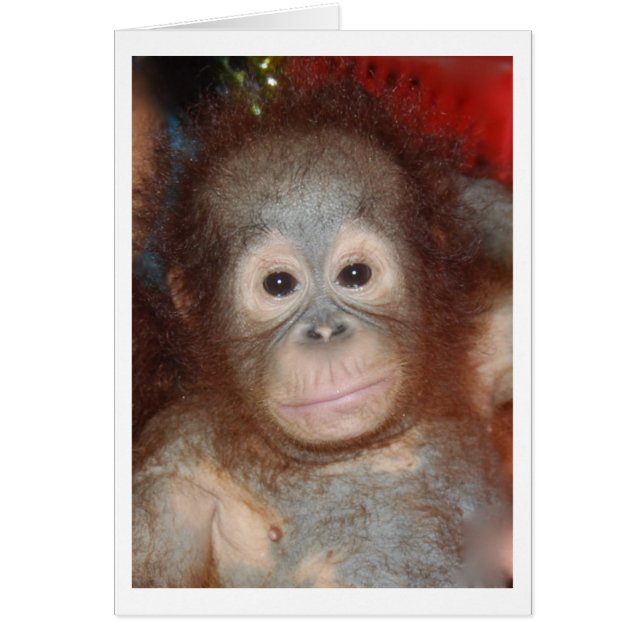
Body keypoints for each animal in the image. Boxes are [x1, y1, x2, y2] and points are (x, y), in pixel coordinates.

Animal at [132, 75, 512, 588]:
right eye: (278, 285)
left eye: (355, 275)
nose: (327, 332)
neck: (354, 449)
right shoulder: (170, 467)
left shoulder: (482, 343)